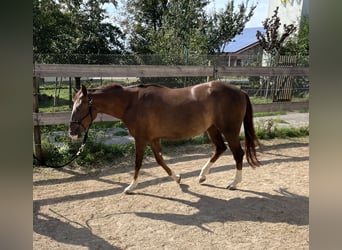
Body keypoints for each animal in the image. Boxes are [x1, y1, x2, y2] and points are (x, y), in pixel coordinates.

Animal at [69, 81, 260, 194]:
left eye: (79, 107)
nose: (72, 132)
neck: (132, 102)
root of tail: (240, 91)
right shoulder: (153, 139)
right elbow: (160, 160)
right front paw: (178, 178)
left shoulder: (141, 139)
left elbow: (138, 163)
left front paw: (131, 187)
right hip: (212, 128)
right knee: (220, 148)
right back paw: (202, 176)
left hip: (230, 130)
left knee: (238, 153)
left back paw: (234, 183)